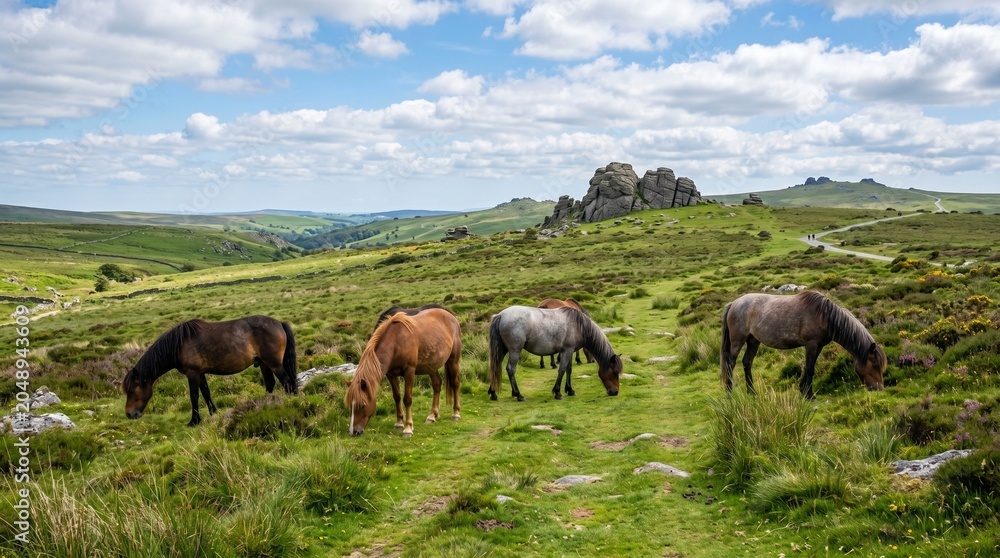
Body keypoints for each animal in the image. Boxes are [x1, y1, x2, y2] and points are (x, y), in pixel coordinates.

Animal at [122, 315, 297, 426]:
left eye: (132, 390)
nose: (129, 414)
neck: (178, 345)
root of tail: (279, 323)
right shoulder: (200, 373)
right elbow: (206, 392)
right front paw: (213, 412)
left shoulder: (192, 373)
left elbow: (194, 396)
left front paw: (194, 421)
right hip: (263, 364)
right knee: (271, 383)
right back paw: (263, 404)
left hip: (274, 364)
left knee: (287, 382)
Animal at [345, 307, 461, 438]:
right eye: (350, 405)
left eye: (362, 405)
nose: (354, 431)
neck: (396, 342)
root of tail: (450, 315)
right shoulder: (391, 375)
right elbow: (397, 397)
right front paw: (399, 423)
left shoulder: (409, 372)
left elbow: (407, 399)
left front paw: (408, 428)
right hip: (431, 365)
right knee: (437, 384)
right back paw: (432, 416)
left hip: (453, 360)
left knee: (455, 383)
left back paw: (455, 414)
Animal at [488, 305, 622, 401]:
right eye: (614, 372)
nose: (615, 392)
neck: (579, 326)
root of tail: (500, 315)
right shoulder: (567, 350)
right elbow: (562, 370)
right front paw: (558, 393)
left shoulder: (569, 351)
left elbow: (569, 369)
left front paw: (570, 390)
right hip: (515, 350)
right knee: (510, 369)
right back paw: (518, 395)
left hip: (502, 350)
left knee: (495, 367)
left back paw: (493, 393)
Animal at [720, 291, 886, 399]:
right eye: (874, 364)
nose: (879, 389)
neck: (824, 316)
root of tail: (734, 303)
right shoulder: (811, 344)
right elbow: (810, 369)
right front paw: (810, 395)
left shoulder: (818, 346)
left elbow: (807, 368)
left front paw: (803, 390)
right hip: (737, 341)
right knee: (730, 363)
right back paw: (729, 393)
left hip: (753, 341)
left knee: (747, 362)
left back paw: (752, 392)